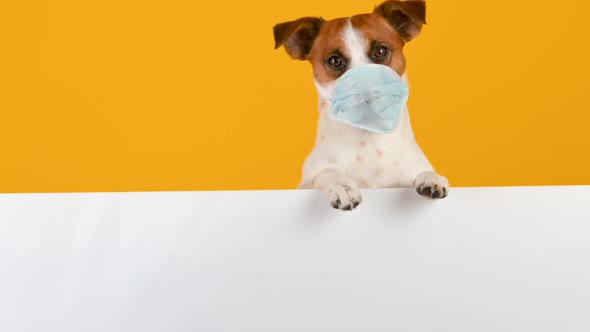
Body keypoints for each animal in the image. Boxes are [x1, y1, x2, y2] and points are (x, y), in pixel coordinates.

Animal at [276, 0, 450, 210]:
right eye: (335, 61)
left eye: (380, 51)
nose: (365, 87)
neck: (368, 140)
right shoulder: (306, 184)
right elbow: (327, 172)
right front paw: (342, 186)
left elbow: (419, 173)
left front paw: (431, 177)